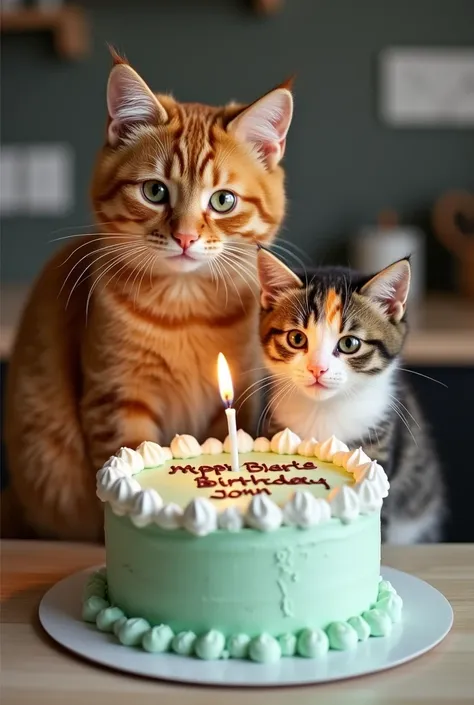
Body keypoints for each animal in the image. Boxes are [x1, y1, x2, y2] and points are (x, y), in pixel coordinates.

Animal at [2, 53, 292, 540]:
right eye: (155, 191)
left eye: (223, 201)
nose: (186, 237)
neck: (186, 310)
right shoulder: (118, 399)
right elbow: (129, 452)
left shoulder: (229, 400)